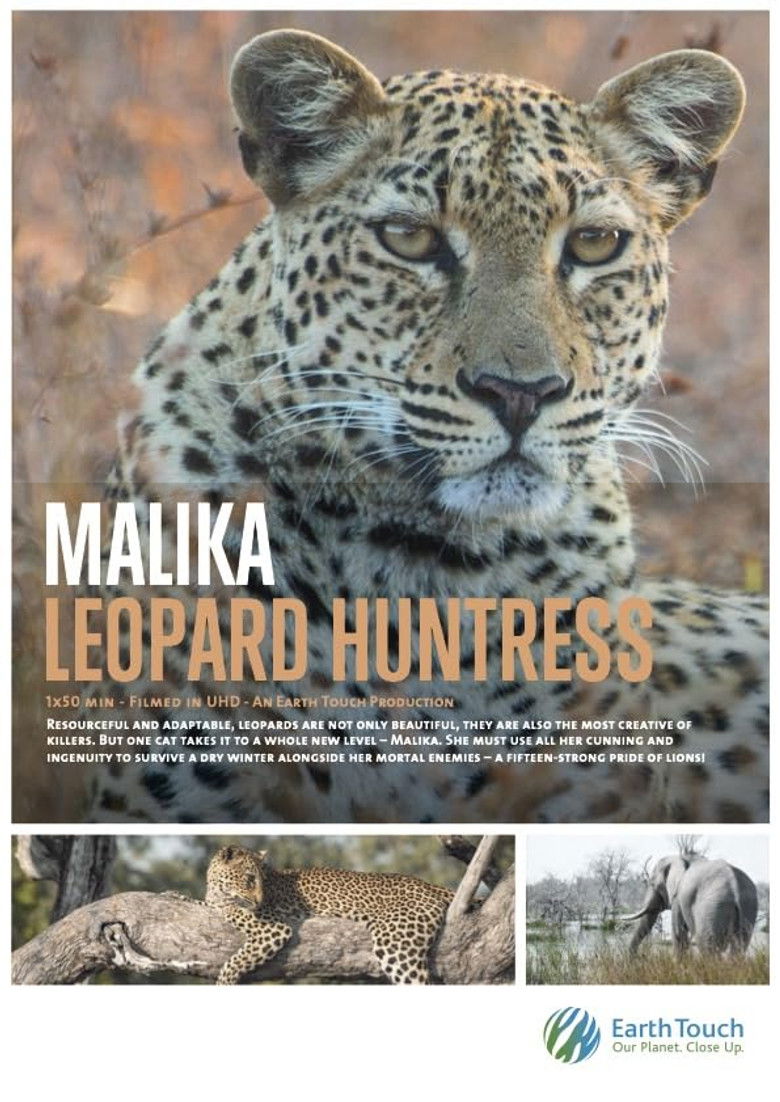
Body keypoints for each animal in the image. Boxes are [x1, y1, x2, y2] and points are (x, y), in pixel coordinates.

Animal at [204, 845, 454, 984]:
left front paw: (223, 983)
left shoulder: (274, 929)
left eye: (262, 881)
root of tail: (429, 885)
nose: (259, 901)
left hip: (396, 944)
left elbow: (235, 960)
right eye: (249, 879)